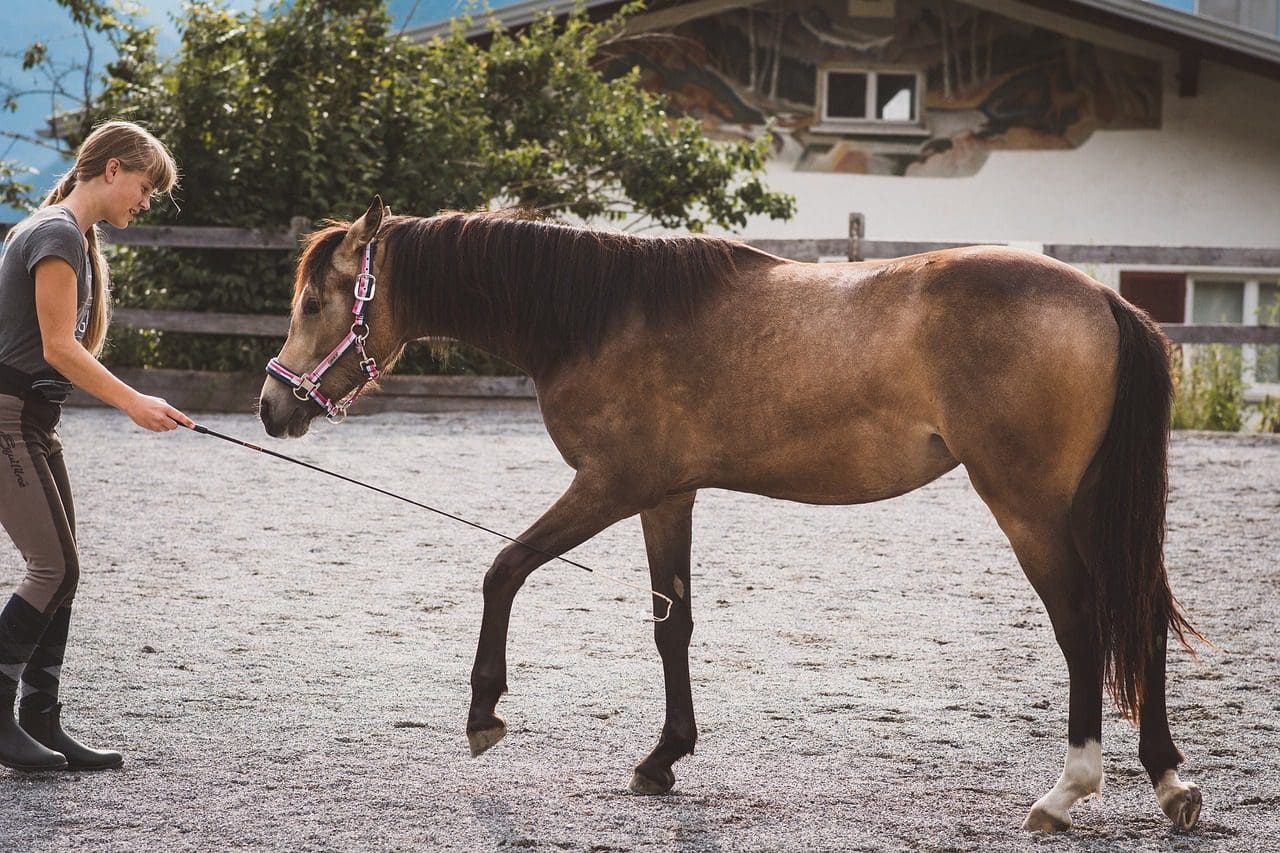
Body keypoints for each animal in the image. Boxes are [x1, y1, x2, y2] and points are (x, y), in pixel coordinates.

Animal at [257, 197, 1198, 829]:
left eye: (313, 304)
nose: (274, 406)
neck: (600, 314)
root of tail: (1105, 299)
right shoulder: (666, 495)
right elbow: (672, 623)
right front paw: (664, 756)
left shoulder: (611, 483)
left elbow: (504, 568)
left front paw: (485, 712)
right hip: (1085, 507)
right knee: (1142, 616)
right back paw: (1169, 781)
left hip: (1030, 505)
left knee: (1083, 623)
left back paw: (1068, 790)